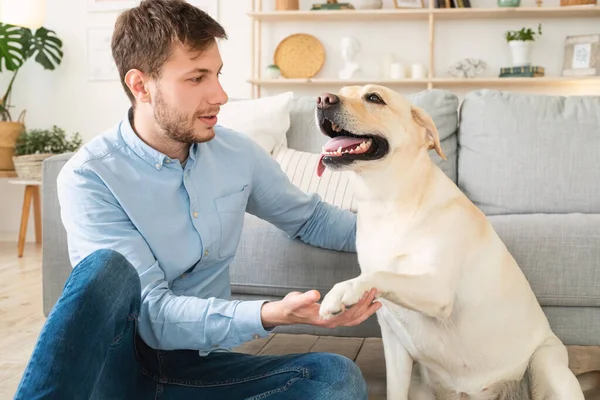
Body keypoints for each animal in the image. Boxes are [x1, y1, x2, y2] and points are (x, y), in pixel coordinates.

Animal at [316, 85, 584, 400]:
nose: (322, 99)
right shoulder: (393, 340)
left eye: (374, 98)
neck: (388, 203)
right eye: (342, 91)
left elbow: (381, 274)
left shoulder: (437, 289)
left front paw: (342, 291)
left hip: (547, 364)